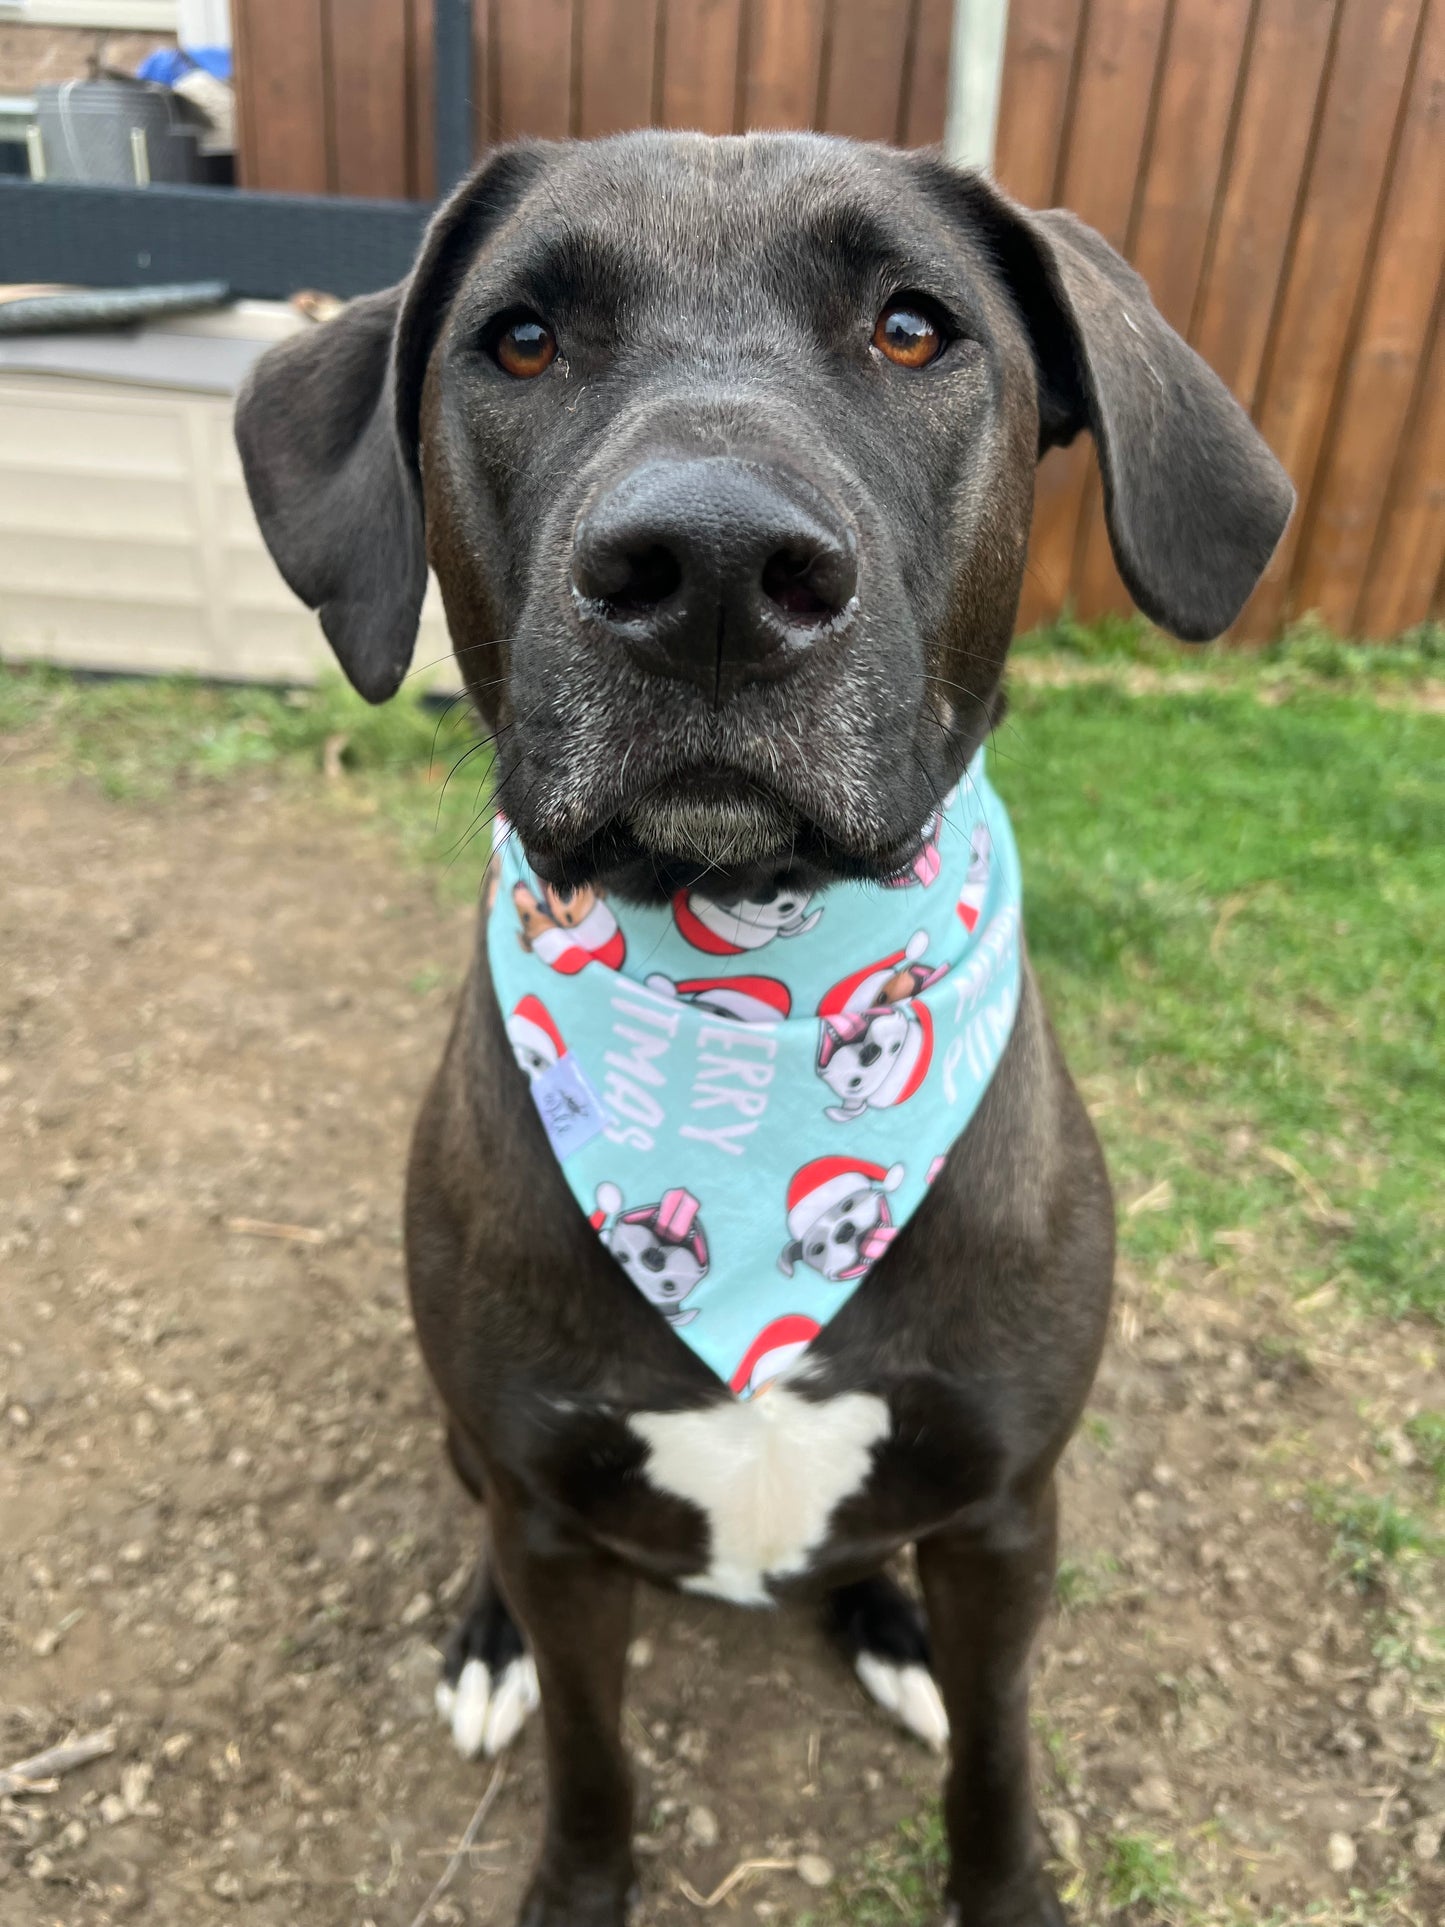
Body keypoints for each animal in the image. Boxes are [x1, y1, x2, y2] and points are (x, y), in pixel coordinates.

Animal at [235, 135, 1287, 1927]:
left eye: (914, 327)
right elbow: (591, 1755)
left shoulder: (1010, 1509)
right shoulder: (552, 1507)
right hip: (479, 1451)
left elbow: (997, 1759)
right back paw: (485, 1644)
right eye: (521, 340)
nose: (713, 570)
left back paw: (886, 1622)